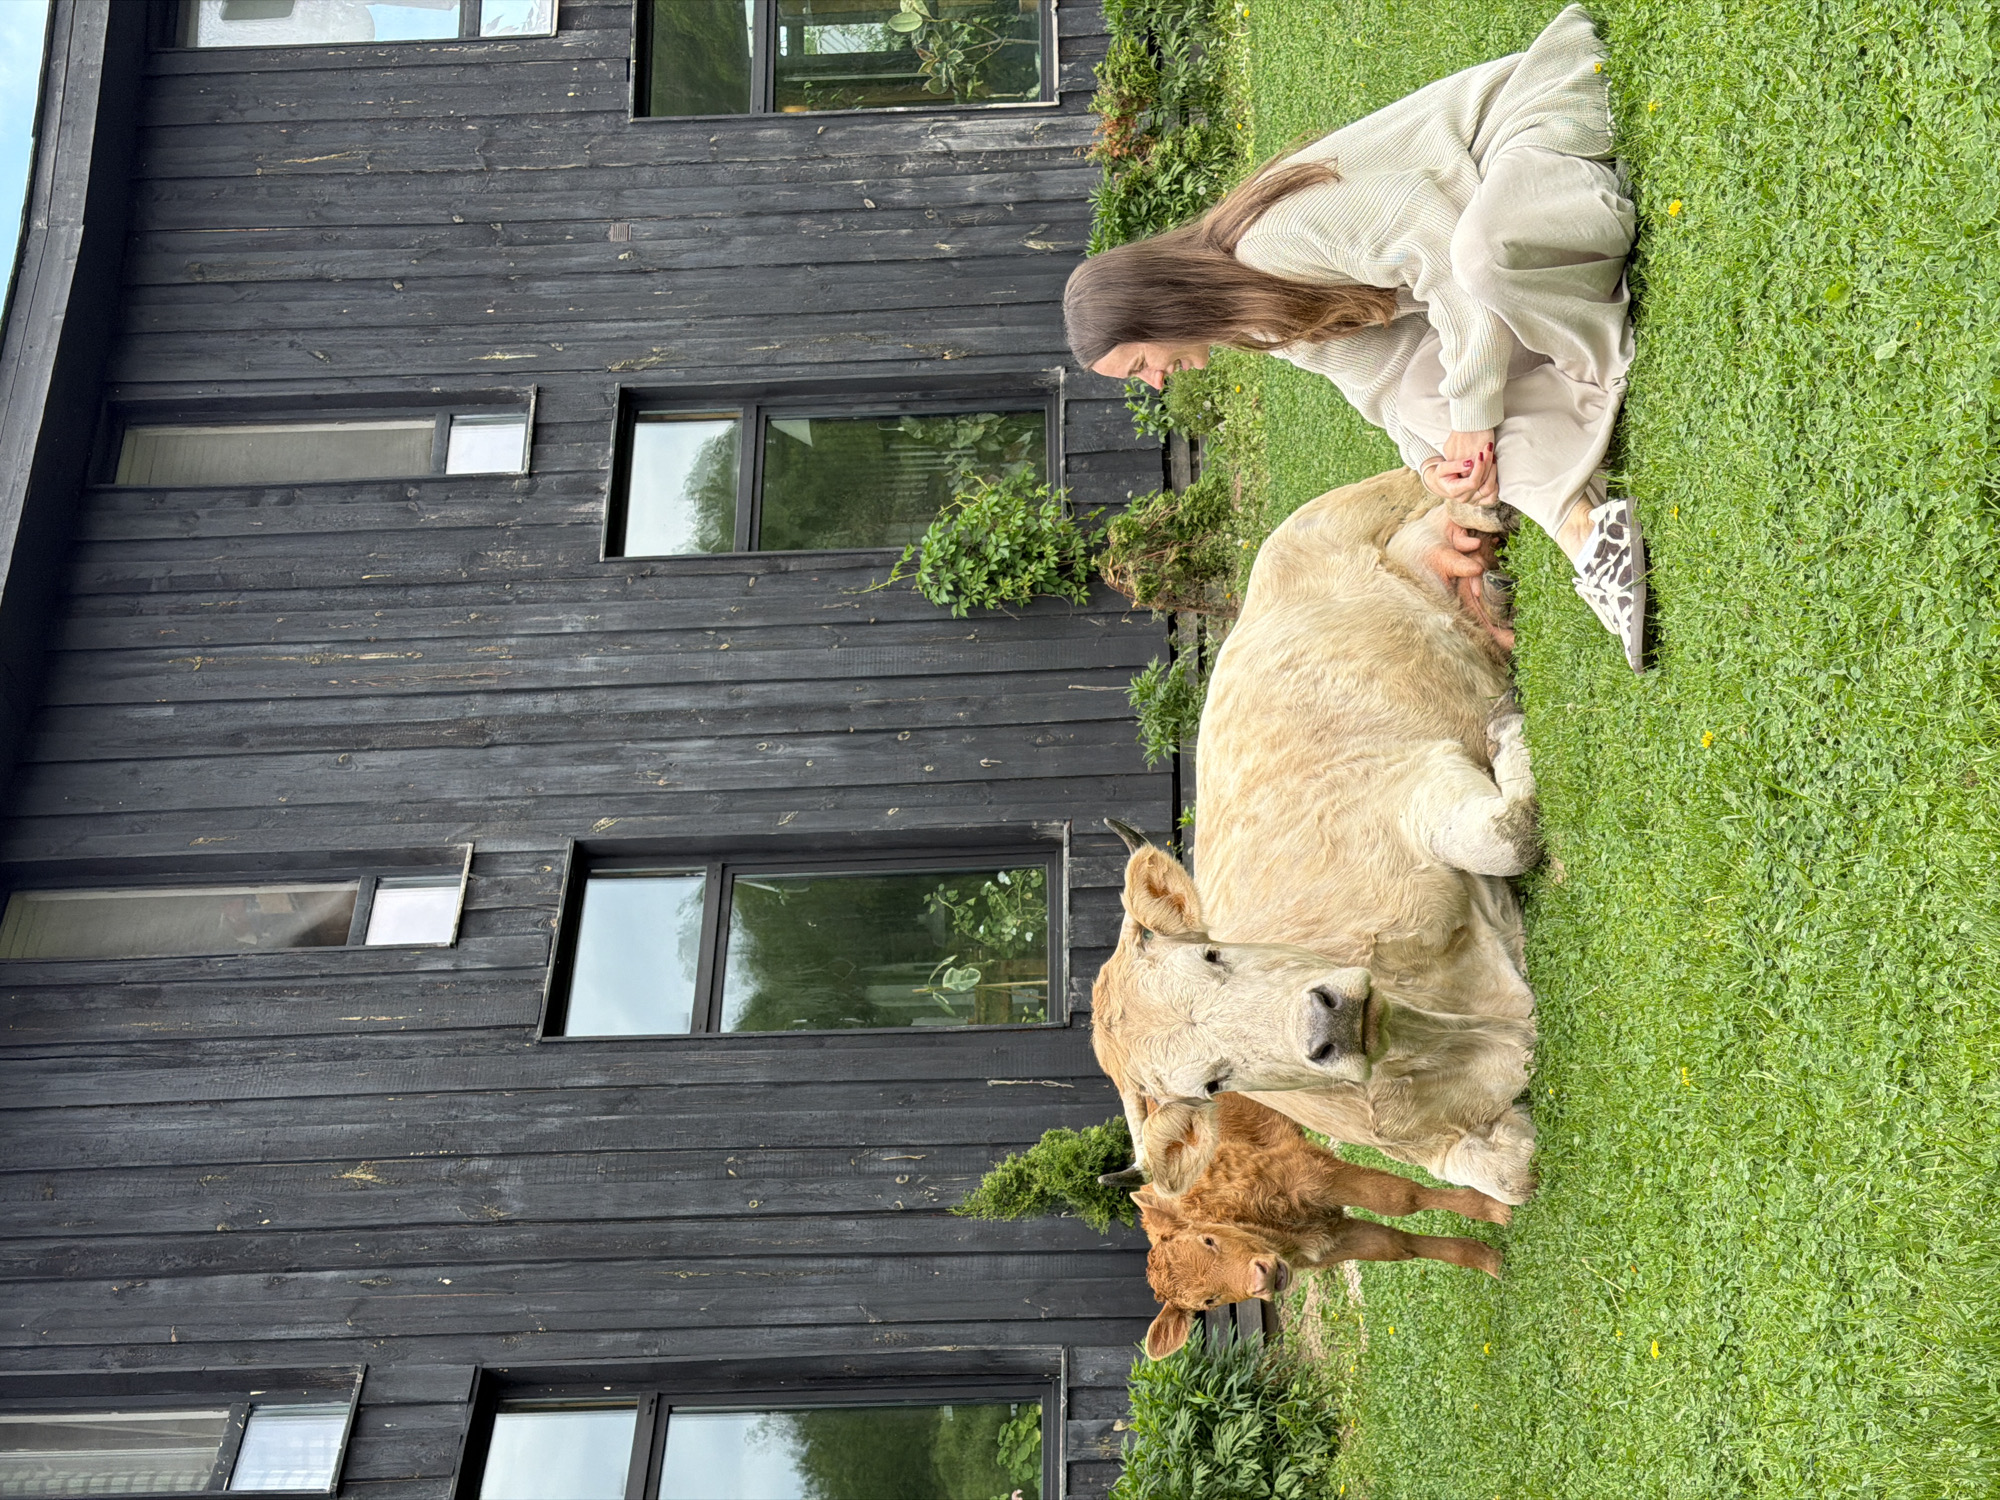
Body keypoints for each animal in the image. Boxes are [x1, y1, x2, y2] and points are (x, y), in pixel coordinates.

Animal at [1093, 468, 1541, 1205]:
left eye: (1214, 953)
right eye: (1212, 1083)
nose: (1326, 1020)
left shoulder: (1416, 783)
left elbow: (1504, 835)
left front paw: (1508, 734)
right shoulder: (1439, 1145)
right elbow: (1511, 1175)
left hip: (1357, 505)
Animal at [1134, 1093, 1508, 1360]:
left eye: (1209, 1240)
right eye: (1209, 1302)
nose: (1260, 1278)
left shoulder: (1317, 1175)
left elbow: (1402, 1198)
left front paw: (1490, 1206)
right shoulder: (1333, 1242)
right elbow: (1400, 1246)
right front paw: (1487, 1259)